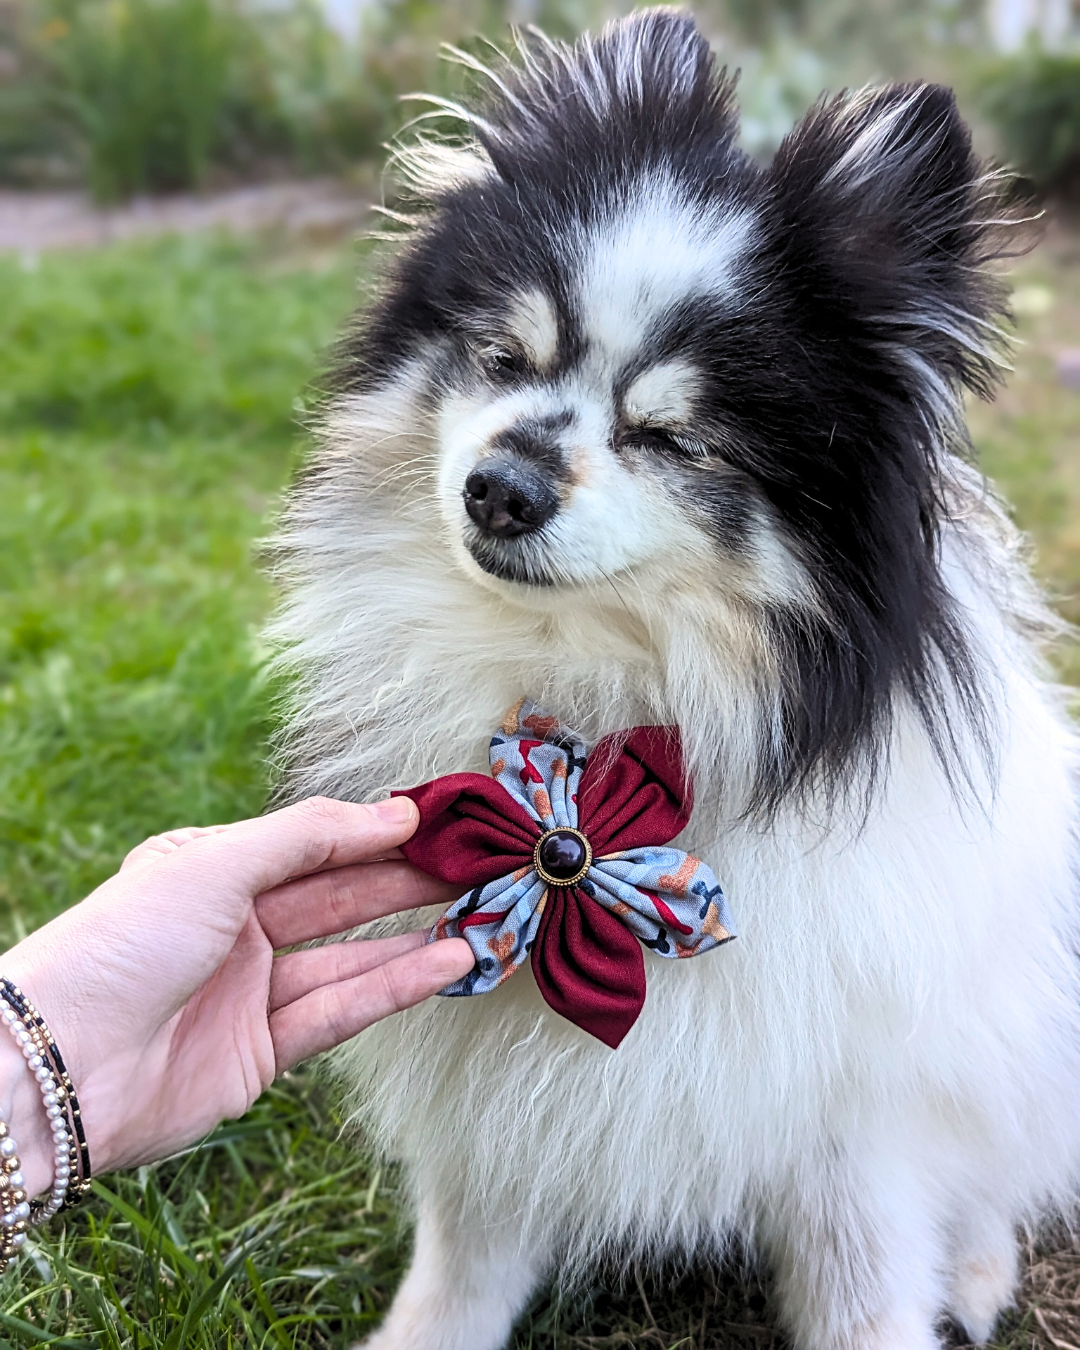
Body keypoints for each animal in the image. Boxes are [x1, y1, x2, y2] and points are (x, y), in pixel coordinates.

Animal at [265, 13, 1080, 1350]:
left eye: (671, 437)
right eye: (503, 357)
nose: (499, 487)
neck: (594, 690)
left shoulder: (855, 1130)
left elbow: (869, 1294)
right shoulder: (489, 1081)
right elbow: (465, 1258)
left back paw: (973, 1273)